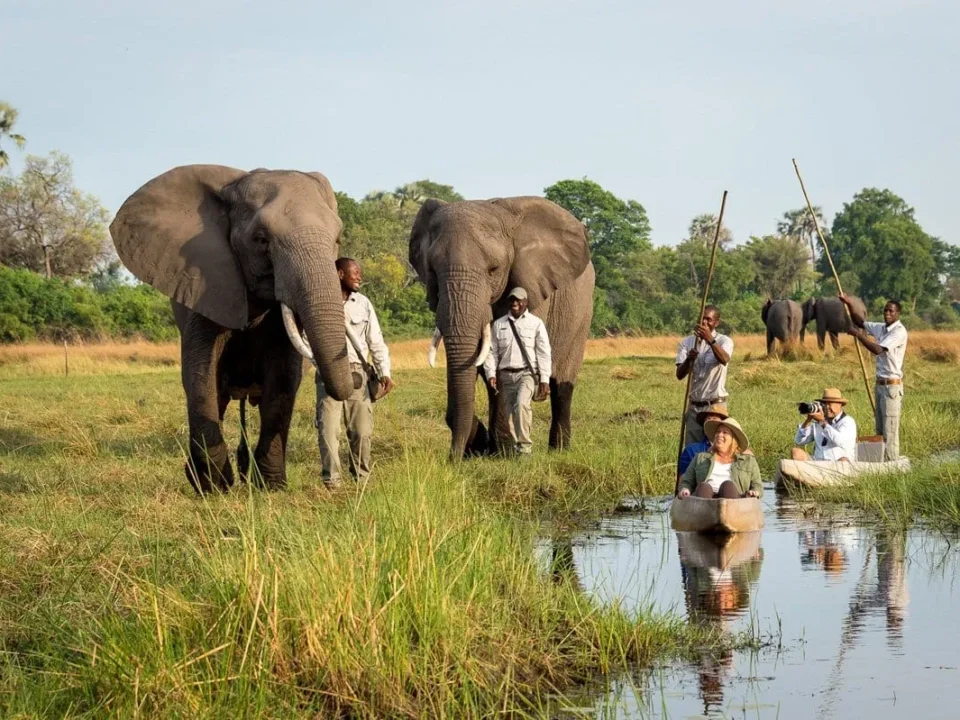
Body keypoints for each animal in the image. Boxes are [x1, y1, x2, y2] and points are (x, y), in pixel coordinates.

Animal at [110, 165, 353, 493]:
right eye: (261, 240)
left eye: (337, 238)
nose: (357, 378)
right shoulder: (206, 285)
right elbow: (200, 375)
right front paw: (214, 487)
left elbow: (284, 377)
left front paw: (272, 487)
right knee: (218, 397)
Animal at [408, 196, 595, 459]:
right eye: (432, 271)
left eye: (493, 270)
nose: (452, 459)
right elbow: (480, 360)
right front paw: (482, 446)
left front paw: (503, 451)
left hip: (582, 313)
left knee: (562, 385)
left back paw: (558, 449)